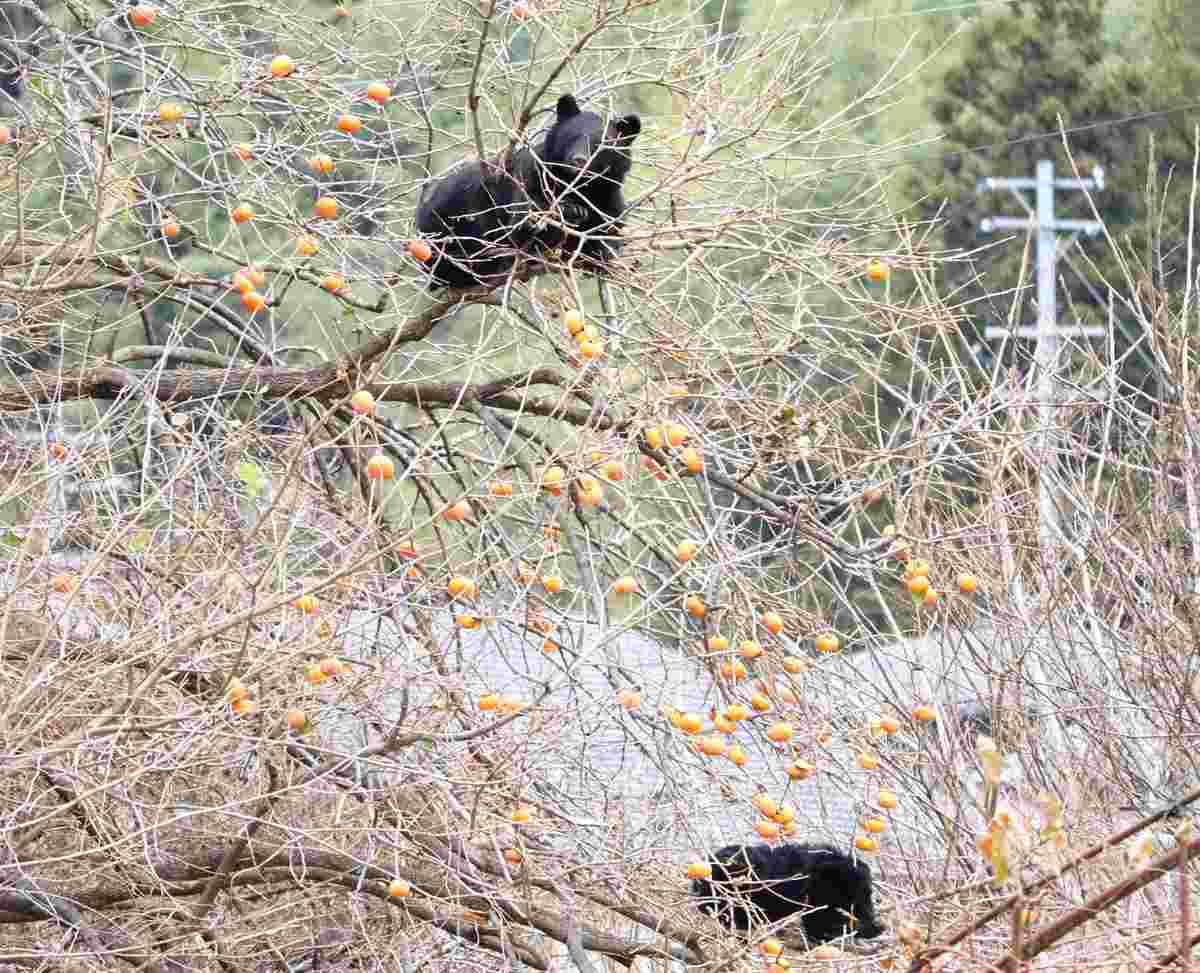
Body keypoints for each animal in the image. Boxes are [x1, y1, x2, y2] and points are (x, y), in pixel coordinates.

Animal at [415, 94, 640, 289]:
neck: (578, 185)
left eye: (599, 145)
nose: (578, 160)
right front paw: (571, 211)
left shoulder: (608, 194)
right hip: (451, 220)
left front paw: (602, 252)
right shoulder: (531, 176)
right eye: (572, 137)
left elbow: (610, 225)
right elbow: (523, 219)